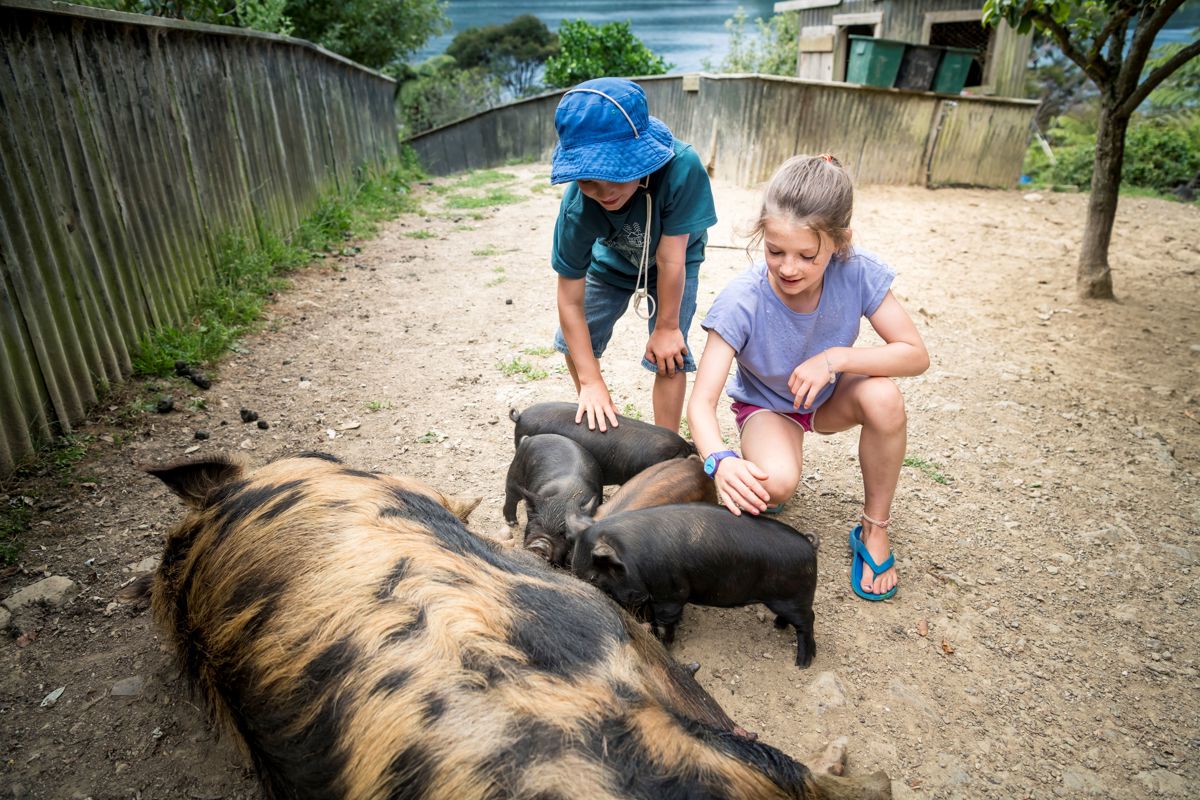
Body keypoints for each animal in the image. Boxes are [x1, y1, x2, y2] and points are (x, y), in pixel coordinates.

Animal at [504, 431, 604, 563]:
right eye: (538, 523)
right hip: (516, 471)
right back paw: (512, 523)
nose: (541, 545)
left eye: (564, 535)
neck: (566, 496)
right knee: (511, 495)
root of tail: (528, 439)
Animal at [566, 506, 820, 671]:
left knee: (808, 621)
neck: (633, 558)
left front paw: (665, 644)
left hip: (793, 598)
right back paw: (778, 626)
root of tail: (810, 546)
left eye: (594, 577)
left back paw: (802, 664)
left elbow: (665, 622)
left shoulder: (670, 593)